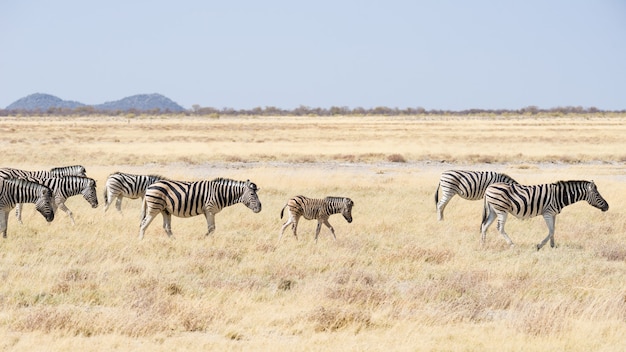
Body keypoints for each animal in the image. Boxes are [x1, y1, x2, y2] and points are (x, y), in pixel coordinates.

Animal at [480, 179, 608, 250]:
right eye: (597, 195)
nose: (607, 206)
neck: (560, 195)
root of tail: (488, 187)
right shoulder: (548, 213)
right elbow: (550, 231)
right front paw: (540, 246)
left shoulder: (554, 214)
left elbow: (553, 230)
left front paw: (553, 246)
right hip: (501, 209)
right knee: (499, 228)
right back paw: (512, 244)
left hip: (493, 210)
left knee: (485, 226)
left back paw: (483, 244)